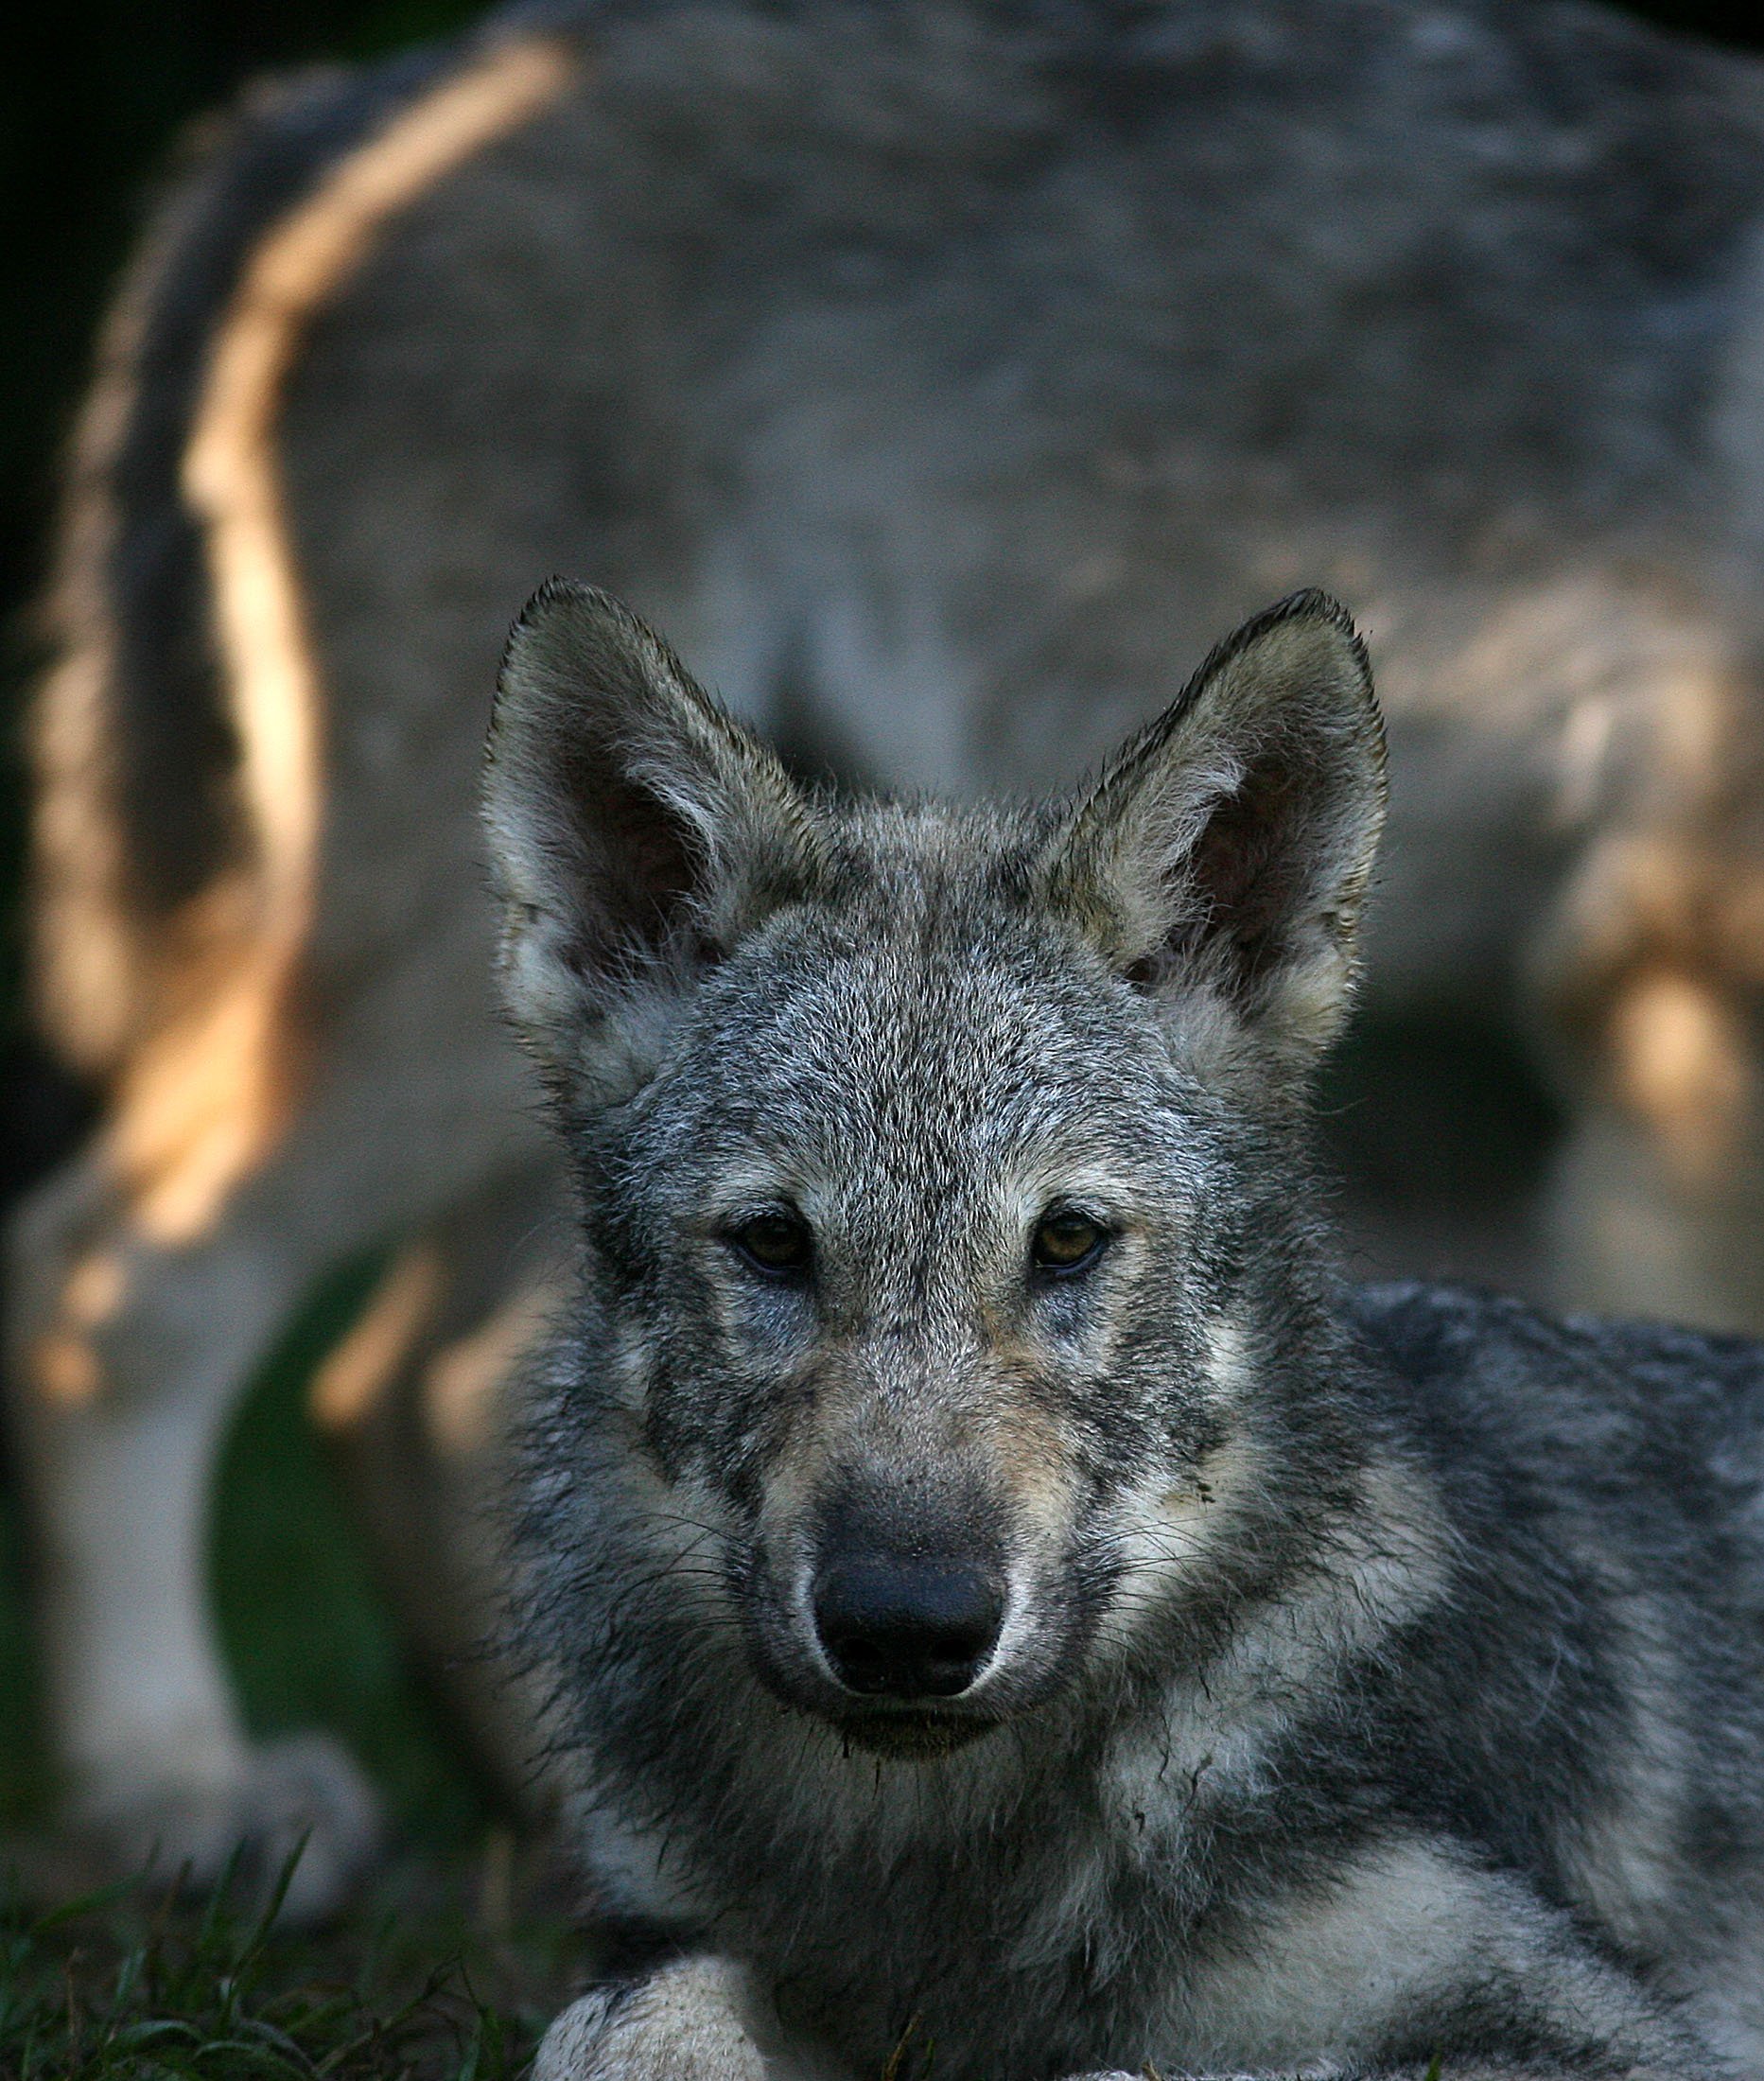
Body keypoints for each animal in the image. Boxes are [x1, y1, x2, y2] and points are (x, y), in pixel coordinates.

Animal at [13, 0, 1764, 1913]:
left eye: (1070, 1243)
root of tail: (371, 95)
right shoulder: (1677, 1008)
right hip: (413, 1021)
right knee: (111, 1281)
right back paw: (194, 1792)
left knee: (400, 1380)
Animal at [486, 580, 1764, 2081]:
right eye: (773, 1244)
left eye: (1066, 1242)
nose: (906, 1627)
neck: (938, 1883)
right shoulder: (660, 1935)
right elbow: (628, 2023)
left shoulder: (1599, 2032)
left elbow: (1149, 2063)